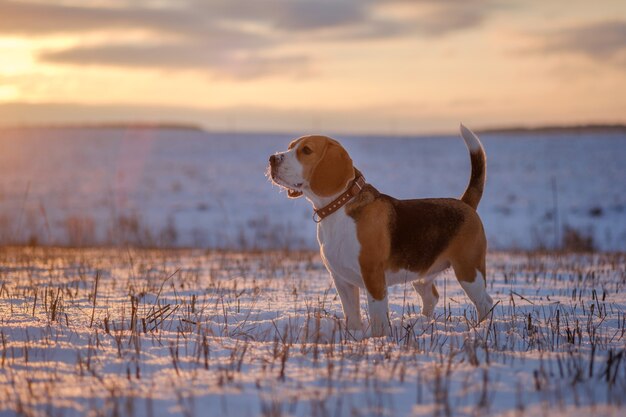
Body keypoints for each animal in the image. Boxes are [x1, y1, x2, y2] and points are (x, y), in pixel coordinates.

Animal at [268, 123, 492, 334]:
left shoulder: (373, 275)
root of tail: (465, 203)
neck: (338, 206)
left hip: (468, 271)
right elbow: (352, 315)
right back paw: (424, 322)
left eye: (306, 150)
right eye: (290, 146)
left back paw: (481, 329)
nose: (272, 158)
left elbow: (378, 318)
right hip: (422, 277)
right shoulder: (342, 280)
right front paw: (355, 337)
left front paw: (379, 340)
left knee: (485, 302)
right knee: (432, 297)